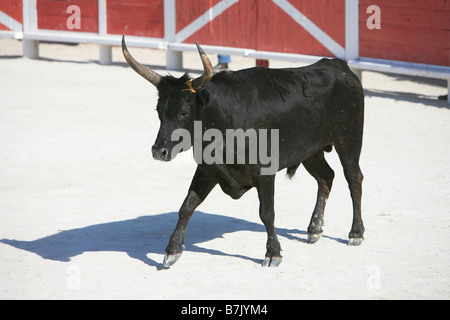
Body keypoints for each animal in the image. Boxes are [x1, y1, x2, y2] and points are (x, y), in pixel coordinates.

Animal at [122, 37, 366, 268]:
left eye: (183, 112)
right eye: (158, 111)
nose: (158, 151)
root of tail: (338, 66)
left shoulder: (265, 172)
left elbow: (267, 212)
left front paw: (273, 253)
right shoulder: (206, 171)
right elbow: (186, 207)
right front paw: (172, 251)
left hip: (349, 142)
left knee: (354, 178)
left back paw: (355, 233)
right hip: (311, 151)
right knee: (326, 177)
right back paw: (314, 229)